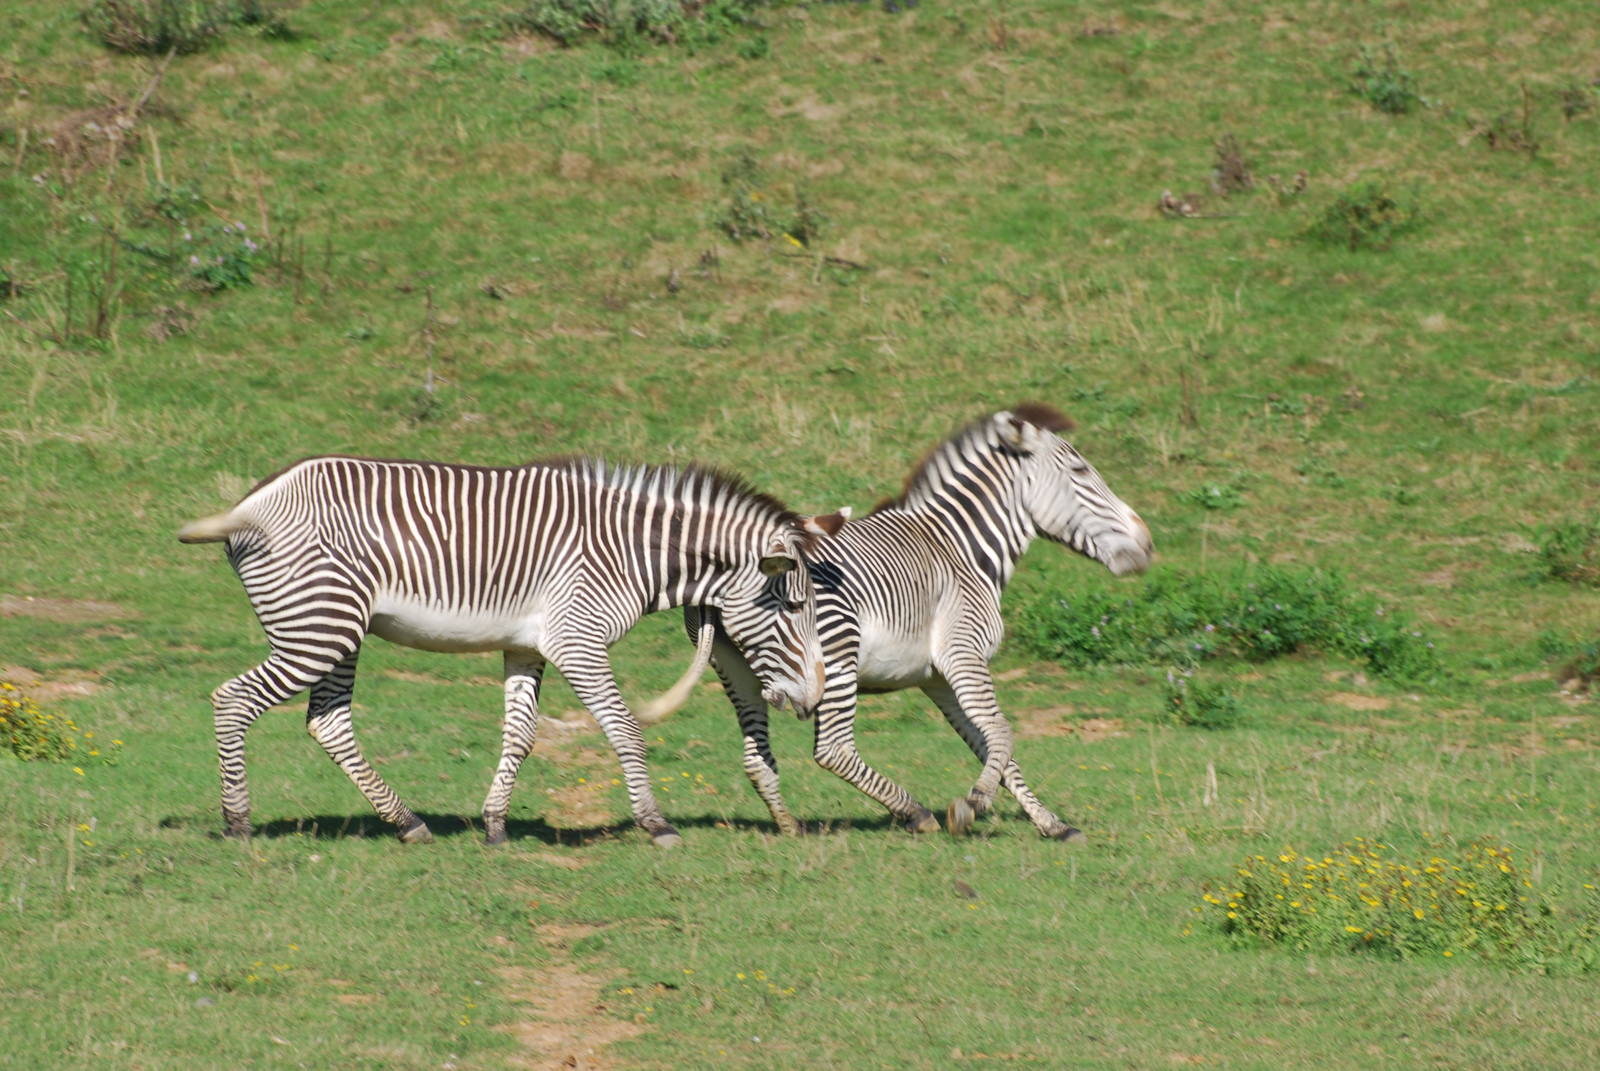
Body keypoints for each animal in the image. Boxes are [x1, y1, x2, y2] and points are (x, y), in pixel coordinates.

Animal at [178, 454, 840, 848]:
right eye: (791, 607)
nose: (812, 698)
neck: (632, 551)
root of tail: (252, 501)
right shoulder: (579, 640)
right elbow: (625, 728)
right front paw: (657, 825)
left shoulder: (529, 645)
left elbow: (519, 734)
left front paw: (495, 823)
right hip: (320, 627)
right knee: (233, 700)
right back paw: (237, 822)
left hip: (334, 630)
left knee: (328, 722)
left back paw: (408, 823)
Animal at [651, 404, 1152, 838]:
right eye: (1080, 471)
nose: (1147, 544)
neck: (961, 547)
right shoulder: (965, 653)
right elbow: (1003, 732)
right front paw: (972, 805)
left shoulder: (938, 678)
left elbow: (992, 743)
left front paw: (1050, 824)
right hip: (833, 656)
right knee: (833, 749)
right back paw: (914, 812)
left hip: (741, 666)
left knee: (757, 758)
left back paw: (790, 825)